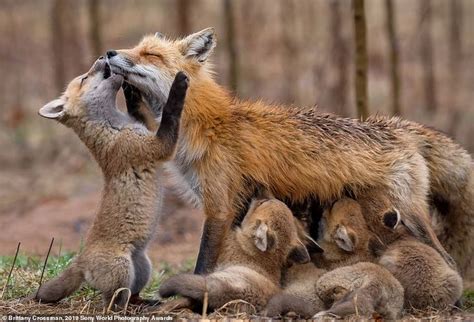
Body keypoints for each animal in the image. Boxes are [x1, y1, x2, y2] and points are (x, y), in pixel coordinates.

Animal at [34, 58, 189, 310]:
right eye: (84, 79)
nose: (100, 58)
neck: (115, 127)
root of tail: (81, 260)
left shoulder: (145, 128)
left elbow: (139, 111)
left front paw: (131, 90)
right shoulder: (156, 146)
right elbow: (170, 113)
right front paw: (178, 84)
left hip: (142, 266)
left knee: (133, 295)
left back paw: (147, 303)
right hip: (121, 270)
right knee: (113, 303)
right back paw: (127, 309)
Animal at [108, 28, 474, 276]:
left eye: (151, 55)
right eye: (137, 48)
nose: (109, 52)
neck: (206, 124)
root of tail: (398, 127)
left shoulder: (220, 206)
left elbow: (203, 262)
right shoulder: (239, 206)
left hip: (409, 214)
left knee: (448, 258)